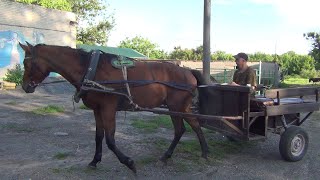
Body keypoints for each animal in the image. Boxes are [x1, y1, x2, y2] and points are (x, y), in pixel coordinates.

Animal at [20, 42, 210, 173]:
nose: (25, 86)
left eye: (26, 64)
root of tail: (188, 71)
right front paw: (94, 161)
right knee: (189, 127)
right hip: (179, 108)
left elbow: (110, 140)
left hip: (177, 107)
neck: (90, 69)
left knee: (185, 128)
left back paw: (197, 153)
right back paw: (189, 154)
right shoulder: (97, 110)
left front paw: (129, 163)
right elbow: (98, 136)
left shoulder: (108, 109)